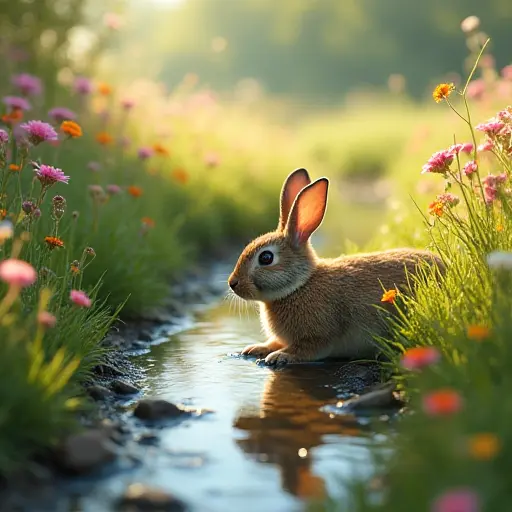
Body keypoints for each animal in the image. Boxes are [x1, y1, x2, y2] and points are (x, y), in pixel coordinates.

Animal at [228, 167, 444, 364]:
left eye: (266, 258)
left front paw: (279, 356)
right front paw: (256, 348)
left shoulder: (319, 336)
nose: (232, 283)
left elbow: (304, 350)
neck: (299, 286)